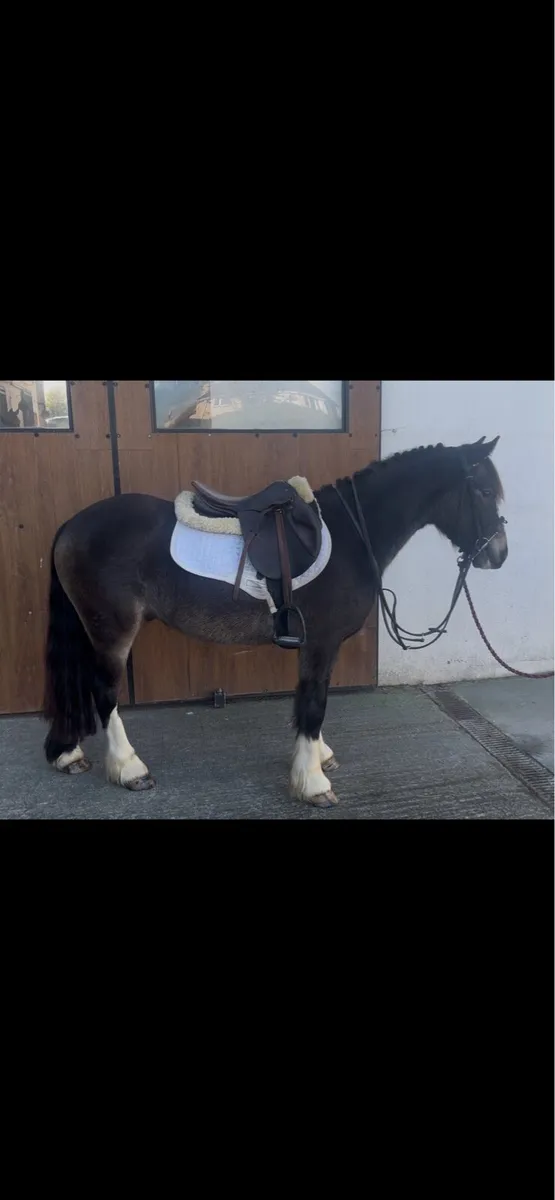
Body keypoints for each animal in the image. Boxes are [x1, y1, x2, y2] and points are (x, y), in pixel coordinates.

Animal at [42, 436, 507, 808]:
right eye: (485, 491)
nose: (498, 555)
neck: (352, 535)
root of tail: (71, 524)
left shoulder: (316, 645)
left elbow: (309, 702)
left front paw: (317, 758)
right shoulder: (321, 642)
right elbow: (314, 703)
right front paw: (313, 783)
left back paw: (69, 753)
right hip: (113, 630)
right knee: (105, 692)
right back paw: (130, 769)